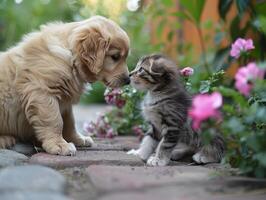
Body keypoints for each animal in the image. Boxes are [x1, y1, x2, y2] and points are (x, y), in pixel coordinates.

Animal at [0, 16, 130, 156]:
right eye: (115, 57)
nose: (128, 80)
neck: (70, 57)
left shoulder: (65, 101)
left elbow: (69, 122)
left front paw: (77, 139)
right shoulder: (42, 93)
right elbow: (55, 121)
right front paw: (59, 144)